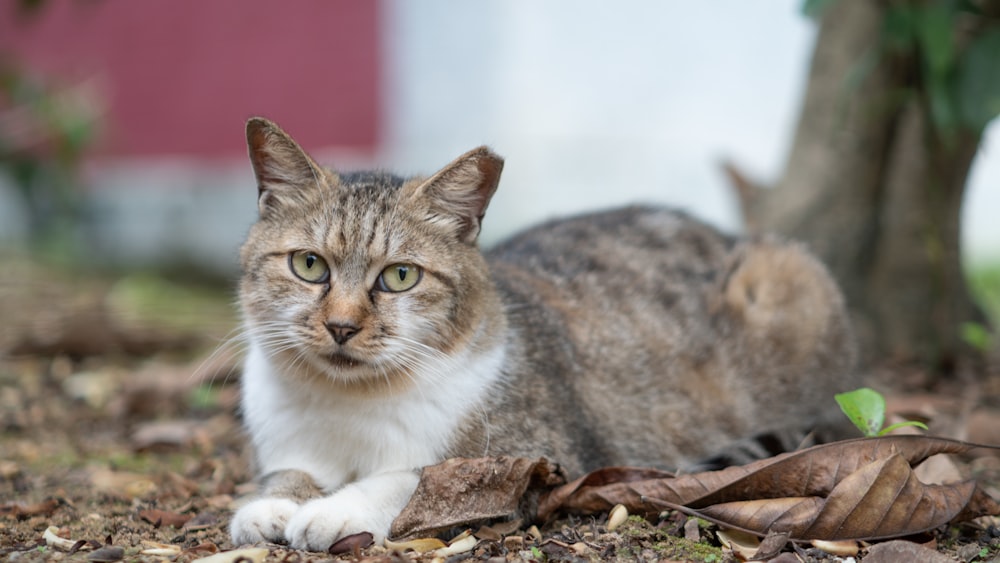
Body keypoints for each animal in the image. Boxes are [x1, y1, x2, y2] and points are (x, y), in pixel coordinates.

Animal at [227, 117, 860, 552]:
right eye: (309, 265)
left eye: (400, 276)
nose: (341, 325)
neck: (350, 405)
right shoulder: (287, 441)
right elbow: (289, 472)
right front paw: (274, 504)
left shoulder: (533, 460)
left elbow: (416, 479)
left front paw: (335, 510)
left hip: (791, 281)